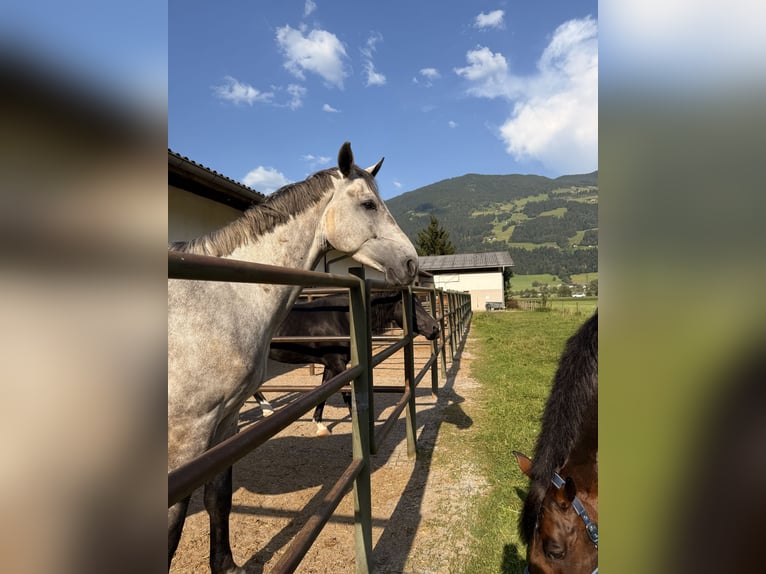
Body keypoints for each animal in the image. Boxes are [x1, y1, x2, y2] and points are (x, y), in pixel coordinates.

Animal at [168, 142, 418, 574]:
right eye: (369, 204)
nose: (411, 262)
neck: (219, 297)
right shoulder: (186, 432)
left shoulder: (225, 423)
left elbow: (219, 496)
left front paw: (227, 566)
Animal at [255, 290, 440, 435]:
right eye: (406, 303)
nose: (435, 328)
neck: (342, 318)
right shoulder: (337, 363)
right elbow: (347, 394)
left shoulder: (331, 365)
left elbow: (324, 391)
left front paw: (320, 425)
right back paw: (267, 410)